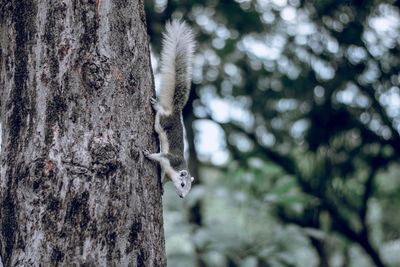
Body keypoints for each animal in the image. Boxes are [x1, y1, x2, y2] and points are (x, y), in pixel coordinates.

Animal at [143, 19, 196, 199]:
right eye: (182, 184)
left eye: (189, 189)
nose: (182, 196)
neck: (176, 170)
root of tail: (175, 111)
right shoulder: (170, 159)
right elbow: (159, 156)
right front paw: (149, 154)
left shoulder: (168, 171)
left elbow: (164, 179)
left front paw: (161, 188)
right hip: (162, 122)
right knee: (160, 117)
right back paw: (156, 105)